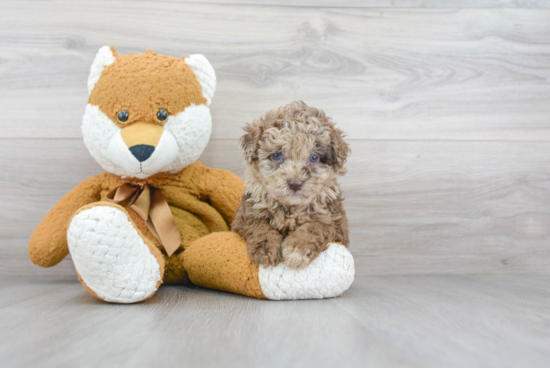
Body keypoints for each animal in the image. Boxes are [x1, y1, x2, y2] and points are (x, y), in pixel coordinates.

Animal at [232, 100, 352, 268]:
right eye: (277, 155)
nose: (295, 183)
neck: (291, 208)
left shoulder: (335, 223)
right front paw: (264, 251)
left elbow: (315, 227)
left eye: (314, 158)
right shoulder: (246, 215)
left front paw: (297, 251)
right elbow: (259, 226)